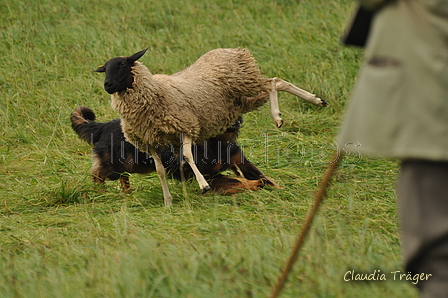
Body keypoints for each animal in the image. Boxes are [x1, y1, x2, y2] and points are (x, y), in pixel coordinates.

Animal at [70, 106, 276, 194]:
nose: (236, 121)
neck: (217, 142)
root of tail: (102, 126)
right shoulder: (208, 176)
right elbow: (236, 180)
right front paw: (255, 185)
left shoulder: (240, 161)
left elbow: (262, 176)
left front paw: (275, 188)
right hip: (114, 165)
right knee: (98, 175)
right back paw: (101, 192)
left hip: (128, 164)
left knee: (123, 177)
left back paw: (128, 192)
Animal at [94, 48, 326, 207]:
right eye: (104, 69)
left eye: (122, 65)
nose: (107, 85)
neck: (155, 91)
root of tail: (229, 50)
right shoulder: (151, 142)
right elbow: (160, 171)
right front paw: (168, 200)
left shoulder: (186, 127)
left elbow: (188, 156)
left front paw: (203, 185)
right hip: (241, 101)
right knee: (276, 83)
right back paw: (312, 102)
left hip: (245, 83)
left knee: (272, 83)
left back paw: (284, 114)